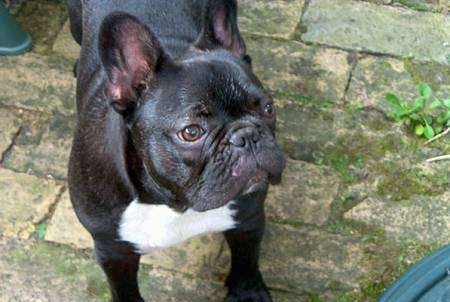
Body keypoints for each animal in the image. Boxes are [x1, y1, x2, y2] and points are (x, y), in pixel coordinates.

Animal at [67, 1, 284, 300]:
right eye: (191, 132)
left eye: (268, 108)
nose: (247, 135)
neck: (174, 203)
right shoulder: (113, 251)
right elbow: (124, 289)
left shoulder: (247, 217)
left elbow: (246, 259)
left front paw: (248, 291)